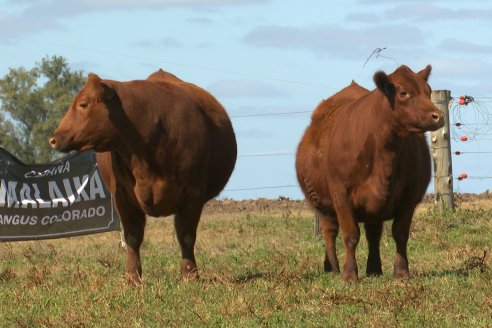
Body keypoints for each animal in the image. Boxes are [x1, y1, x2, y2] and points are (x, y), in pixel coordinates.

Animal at [296, 64, 446, 282]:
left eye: (428, 91)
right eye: (403, 93)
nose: (438, 116)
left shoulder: (409, 197)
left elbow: (400, 234)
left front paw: (401, 273)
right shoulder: (340, 195)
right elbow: (350, 235)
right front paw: (350, 275)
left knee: (373, 233)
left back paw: (374, 269)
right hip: (323, 205)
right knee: (330, 232)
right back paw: (333, 268)